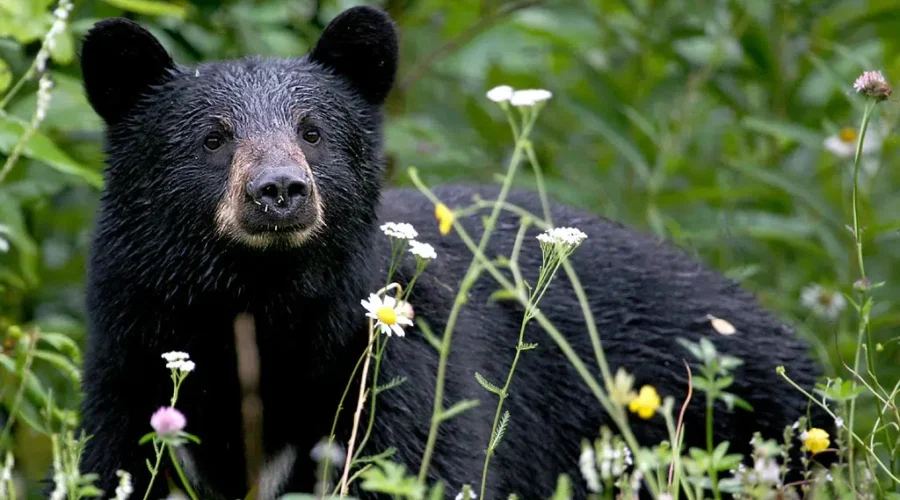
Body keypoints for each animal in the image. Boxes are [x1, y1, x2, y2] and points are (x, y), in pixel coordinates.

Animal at [74, 5, 831, 500]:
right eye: (214, 136)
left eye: (313, 132)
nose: (280, 190)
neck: (261, 308)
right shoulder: (131, 353)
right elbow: (115, 465)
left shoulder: (399, 360)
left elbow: (422, 464)